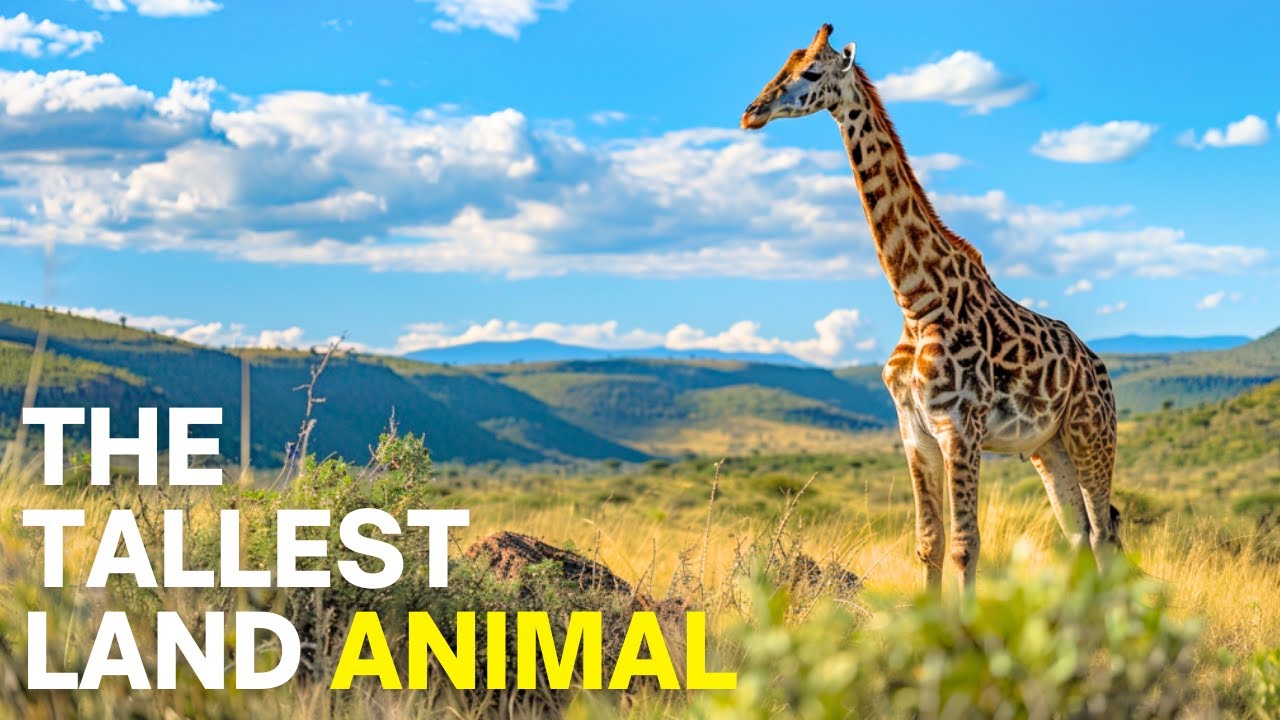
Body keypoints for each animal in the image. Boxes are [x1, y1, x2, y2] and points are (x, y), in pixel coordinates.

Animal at [741, 24, 1121, 591]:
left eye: (810, 72)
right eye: (779, 67)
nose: (752, 112)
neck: (917, 300)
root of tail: (1098, 367)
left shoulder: (960, 428)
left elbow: (966, 545)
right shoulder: (913, 431)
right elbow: (929, 543)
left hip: (1091, 436)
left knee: (1105, 534)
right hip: (1048, 448)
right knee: (1078, 535)